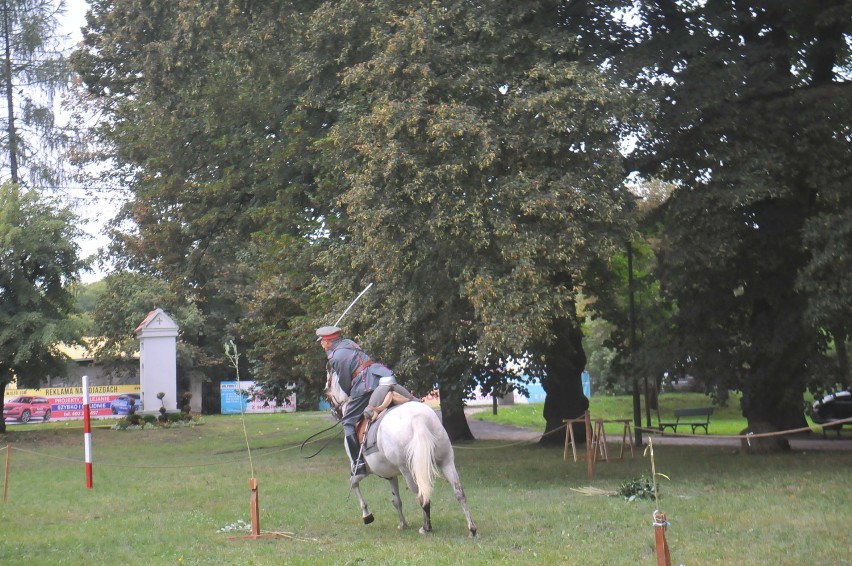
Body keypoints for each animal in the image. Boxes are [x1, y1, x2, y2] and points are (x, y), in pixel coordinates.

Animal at [326, 370, 476, 540]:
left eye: (328, 387)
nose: (333, 411)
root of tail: (418, 417)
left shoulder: (362, 470)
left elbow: (353, 483)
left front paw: (367, 515)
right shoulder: (390, 474)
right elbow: (396, 499)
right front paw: (402, 524)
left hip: (408, 471)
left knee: (422, 496)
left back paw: (426, 527)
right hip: (446, 462)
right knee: (459, 492)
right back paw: (471, 529)